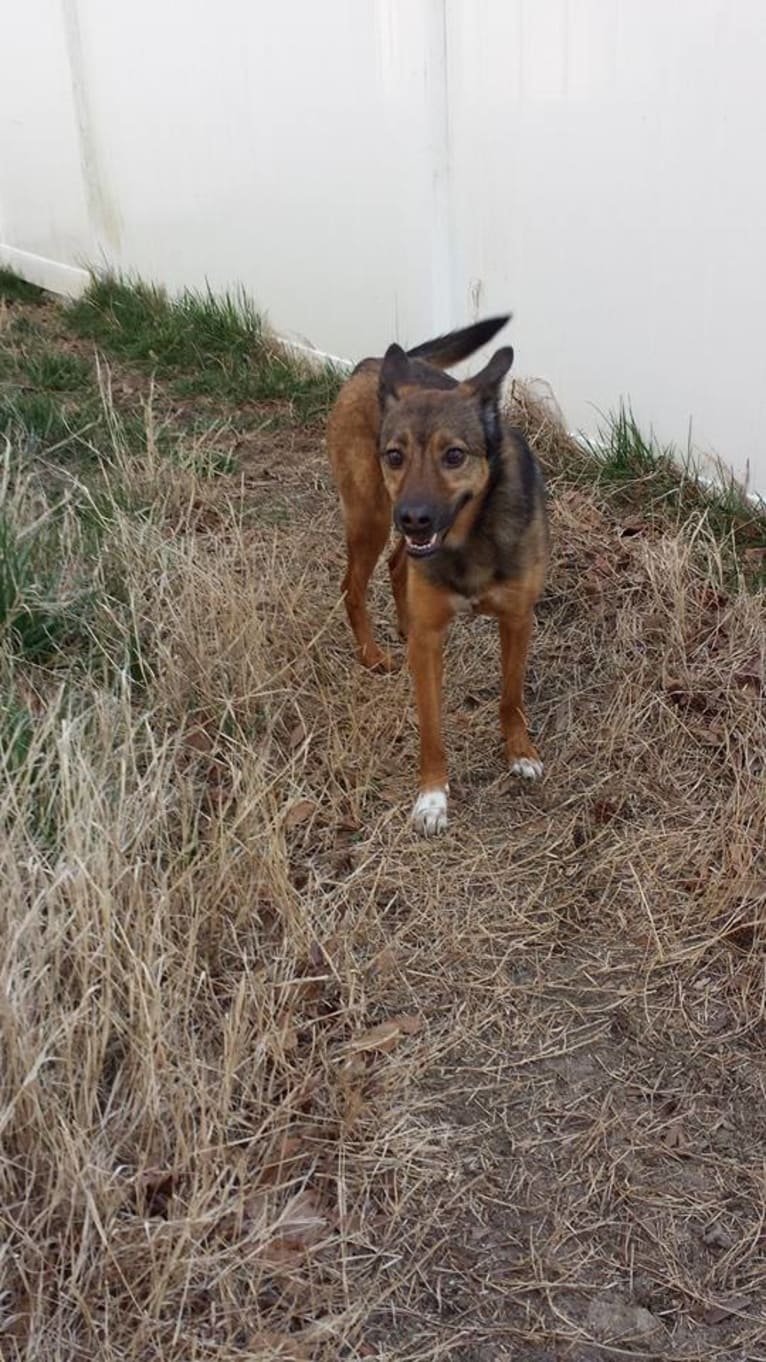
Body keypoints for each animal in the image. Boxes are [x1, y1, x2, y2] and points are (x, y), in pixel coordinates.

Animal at [324, 314, 545, 833]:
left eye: (454, 456)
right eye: (395, 455)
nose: (414, 519)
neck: (468, 539)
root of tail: (374, 364)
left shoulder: (518, 620)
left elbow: (511, 695)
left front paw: (519, 753)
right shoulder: (431, 647)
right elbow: (430, 727)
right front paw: (432, 796)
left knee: (395, 564)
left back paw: (401, 625)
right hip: (369, 517)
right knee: (353, 585)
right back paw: (372, 653)